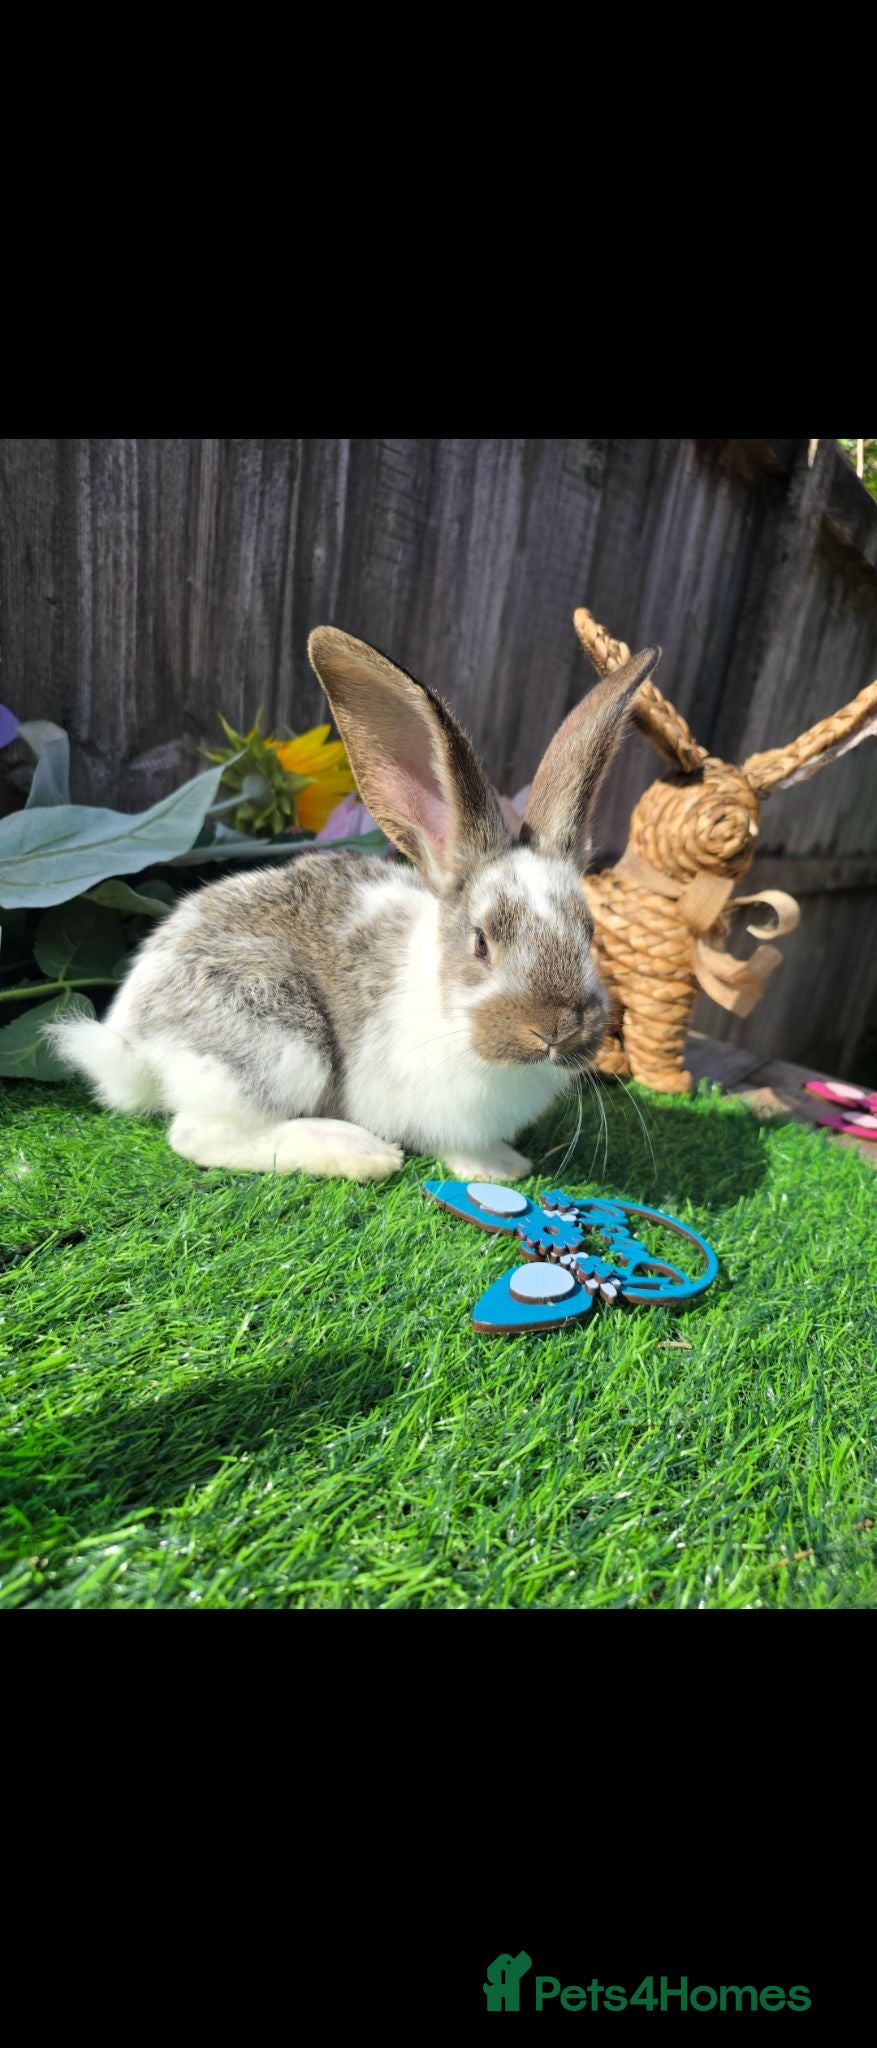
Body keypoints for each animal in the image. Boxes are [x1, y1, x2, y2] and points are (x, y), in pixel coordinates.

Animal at [49, 628, 661, 1181]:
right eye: (482, 943)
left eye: (589, 935)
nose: (555, 1030)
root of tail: (134, 1040)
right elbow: (456, 1147)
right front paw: (494, 1171)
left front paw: (507, 1164)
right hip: (277, 1041)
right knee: (200, 1136)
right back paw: (358, 1153)